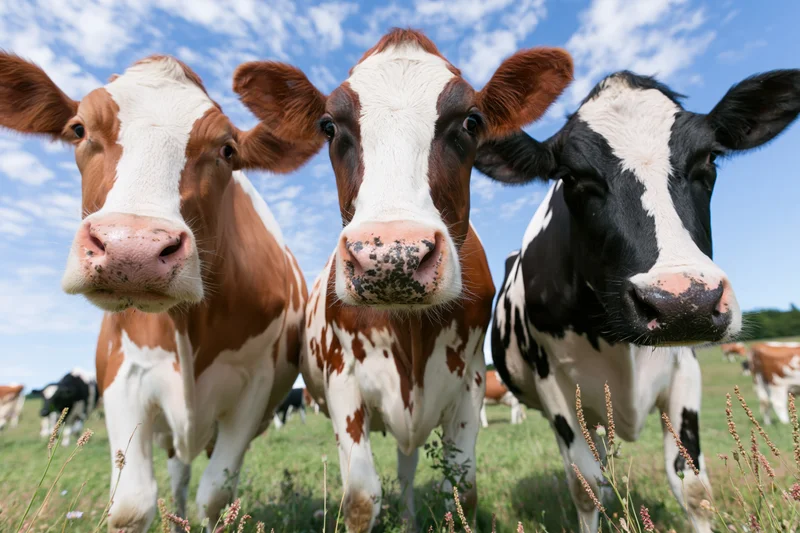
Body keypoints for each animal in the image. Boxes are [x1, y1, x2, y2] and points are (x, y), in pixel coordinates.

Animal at [0, 53, 318, 532]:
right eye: (78, 128)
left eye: (228, 149)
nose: (133, 249)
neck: (187, 325)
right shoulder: (123, 379)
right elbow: (132, 503)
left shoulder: (253, 388)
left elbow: (216, 495)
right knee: (179, 475)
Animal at [232, 28, 573, 531]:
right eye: (329, 126)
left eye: (472, 121)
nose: (391, 255)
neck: (410, 330)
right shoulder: (343, 379)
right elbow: (360, 497)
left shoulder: (470, 381)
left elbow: (461, 490)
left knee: (408, 465)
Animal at [477, 69, 800, 532]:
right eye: (573, 177)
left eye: (709, 159)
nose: (682, 301)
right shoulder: (552, 382)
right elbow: (586, 487)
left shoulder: (685, 366)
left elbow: (694, 487)